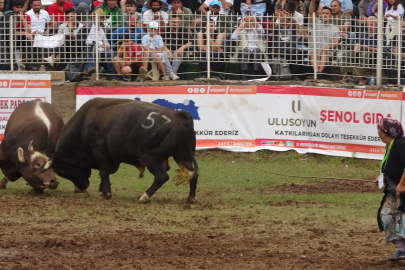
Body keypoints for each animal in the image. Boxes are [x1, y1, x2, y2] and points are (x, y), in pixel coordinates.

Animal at [51, 98, 200, 204]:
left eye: (63, 171)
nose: (81, 188)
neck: (85, 122)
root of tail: (179, 114)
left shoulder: (98, 149)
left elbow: (103, 171)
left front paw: (106, 193)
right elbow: (105, 171)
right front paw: (102, 188)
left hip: (150, 157)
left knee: (161, 176)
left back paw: (144, 197)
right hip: (183, 156)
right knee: (193, 174)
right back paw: (191, 198)